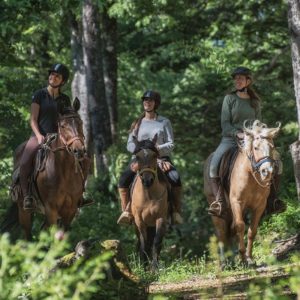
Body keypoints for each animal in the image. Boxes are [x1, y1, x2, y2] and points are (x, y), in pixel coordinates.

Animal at [131, 137, 170, 270]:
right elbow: (144, 243)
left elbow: (156, 242)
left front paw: (154, 268)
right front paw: (143, 267)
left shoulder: (161, 218)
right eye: (137, 157)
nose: (147, 180)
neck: (148, 195)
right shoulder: (139, 221)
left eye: (154, 155)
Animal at [204, 119, 282, 264]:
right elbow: (240, 226)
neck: (251, 174)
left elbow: (252, 230)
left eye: (272, 147)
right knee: (221, 232)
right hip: (217, 207)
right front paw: (243, 258)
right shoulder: (237, 202)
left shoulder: (259, 205)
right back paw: (224, 263)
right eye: (255, 147)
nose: (267, 172)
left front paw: (249, 258)